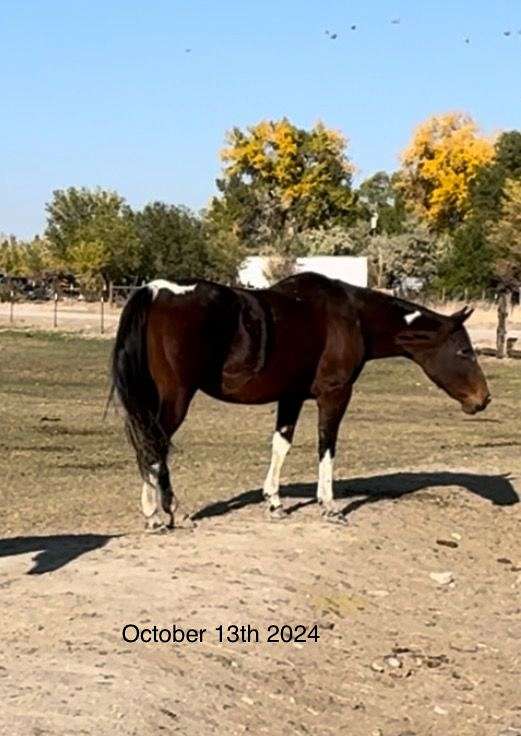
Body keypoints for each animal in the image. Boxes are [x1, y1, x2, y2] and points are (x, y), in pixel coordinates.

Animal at [110, 270, 492, 528]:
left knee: (148, 446)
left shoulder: (291, 396)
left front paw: (274, 502)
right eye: (464, 350)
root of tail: (155, 290)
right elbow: (327, 446)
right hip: (175, 398)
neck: (353, 316)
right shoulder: (335, 394)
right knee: (155, 446)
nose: (483, 399)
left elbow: (281, 445)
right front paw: (330, 506)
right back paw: (167, 512)